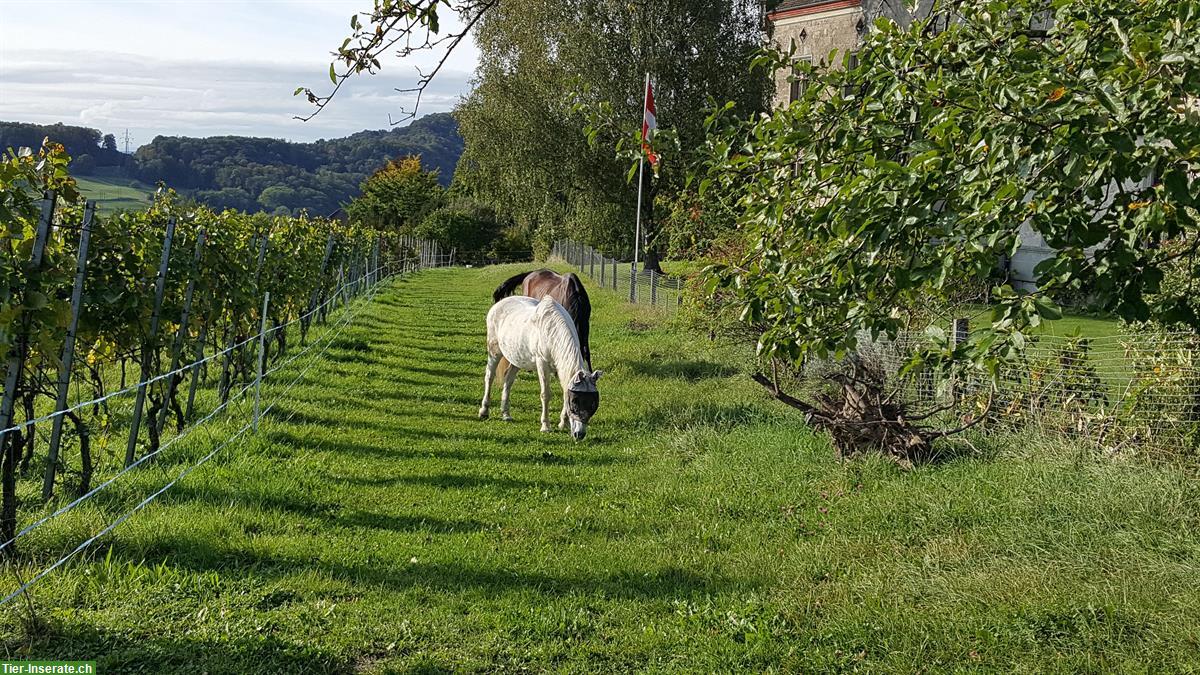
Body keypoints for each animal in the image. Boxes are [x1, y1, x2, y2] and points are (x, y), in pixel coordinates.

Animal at [480, 293, 604, 439]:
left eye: (592, 404)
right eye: (575, 401)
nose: (579, 434)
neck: (551, 331)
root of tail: (498, 304)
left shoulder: (559, 368)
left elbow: (564, 391)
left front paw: (563, 423)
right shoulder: (542, 364)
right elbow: (545, 394)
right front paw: (545, 426)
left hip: (516, 358)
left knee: (508, 380)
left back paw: (506, 414)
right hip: (494, 351)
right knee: (489, 377)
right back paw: (484, 411)